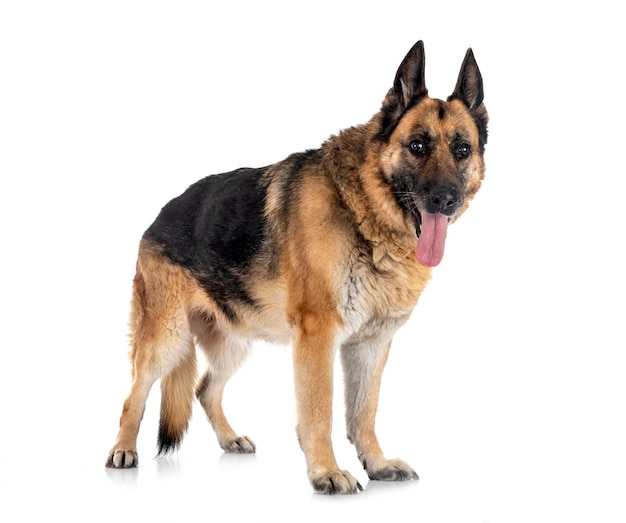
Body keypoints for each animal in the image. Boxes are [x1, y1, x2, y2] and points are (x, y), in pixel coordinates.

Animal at [106, 41, 488, 496]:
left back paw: (230, 438)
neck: (362, 210)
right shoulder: (317, 336)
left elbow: (364, 413)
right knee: (133, 395)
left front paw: (375, 464)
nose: (444, 199)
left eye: (462, 149)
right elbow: (320, 411)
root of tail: (159, 215)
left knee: (205, 390)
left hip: (234, 341)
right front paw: (326, 471)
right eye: (417, 145)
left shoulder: (371, 345)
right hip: (167, 339)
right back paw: (123, 449)